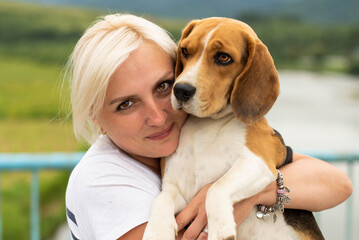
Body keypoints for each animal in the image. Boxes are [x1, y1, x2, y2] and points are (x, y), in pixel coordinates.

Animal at [143, 17, 324, 240]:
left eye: (223, 57)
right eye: (185, 51)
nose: (181, 90)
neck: (205, 126)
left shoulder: (258, 163)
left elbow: (216, 188)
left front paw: (221, 229)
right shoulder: (175, 188)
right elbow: (160, 200)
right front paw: (156, 232)